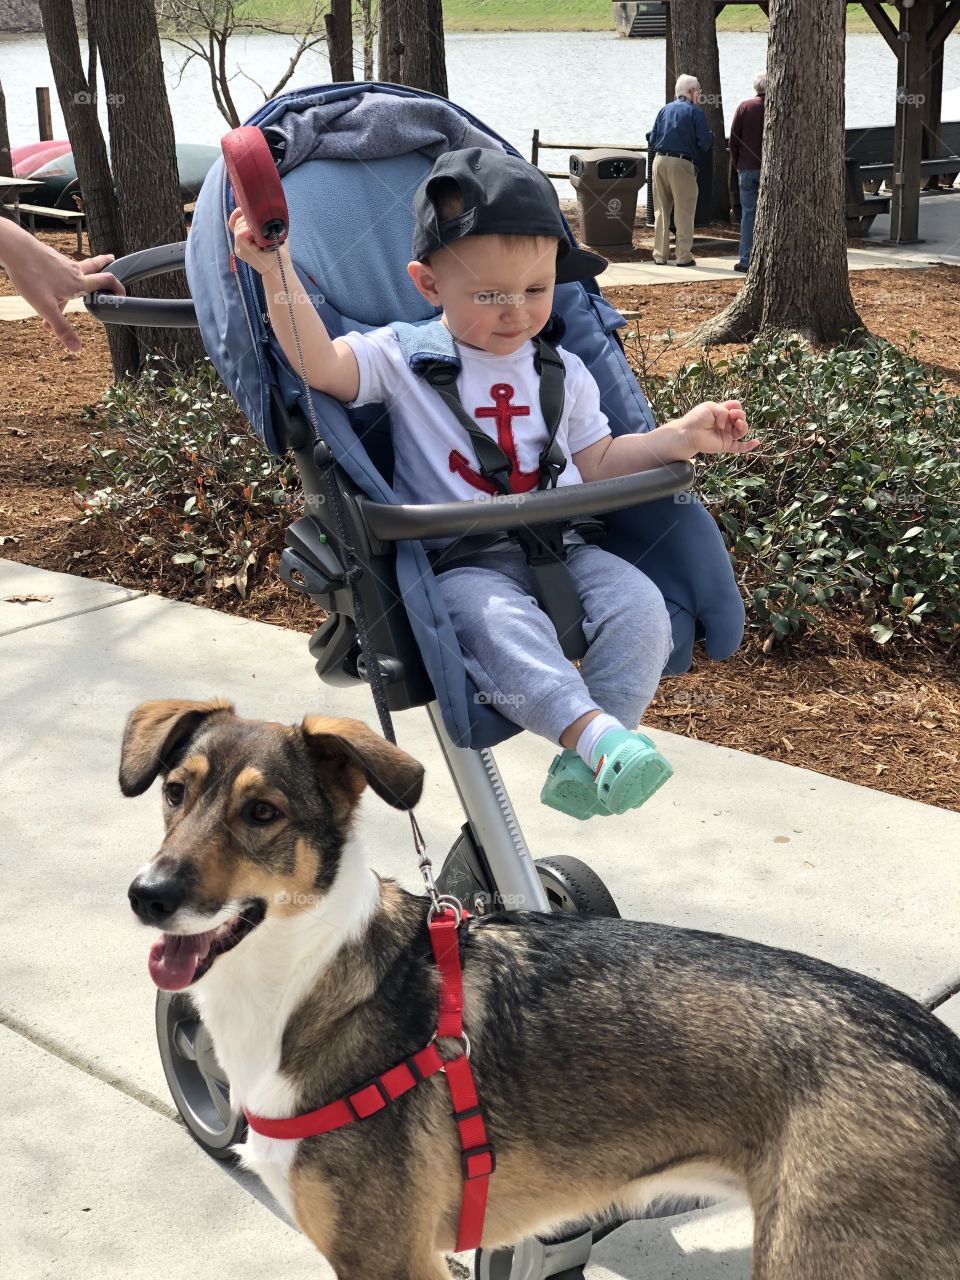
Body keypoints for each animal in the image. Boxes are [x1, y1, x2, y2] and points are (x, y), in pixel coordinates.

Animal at [124, 701, 960, 1280]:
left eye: (262, 813)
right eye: (174, 793)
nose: (146, 895)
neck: (306, 977)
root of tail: (932, 1048)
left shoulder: (389, 1261)